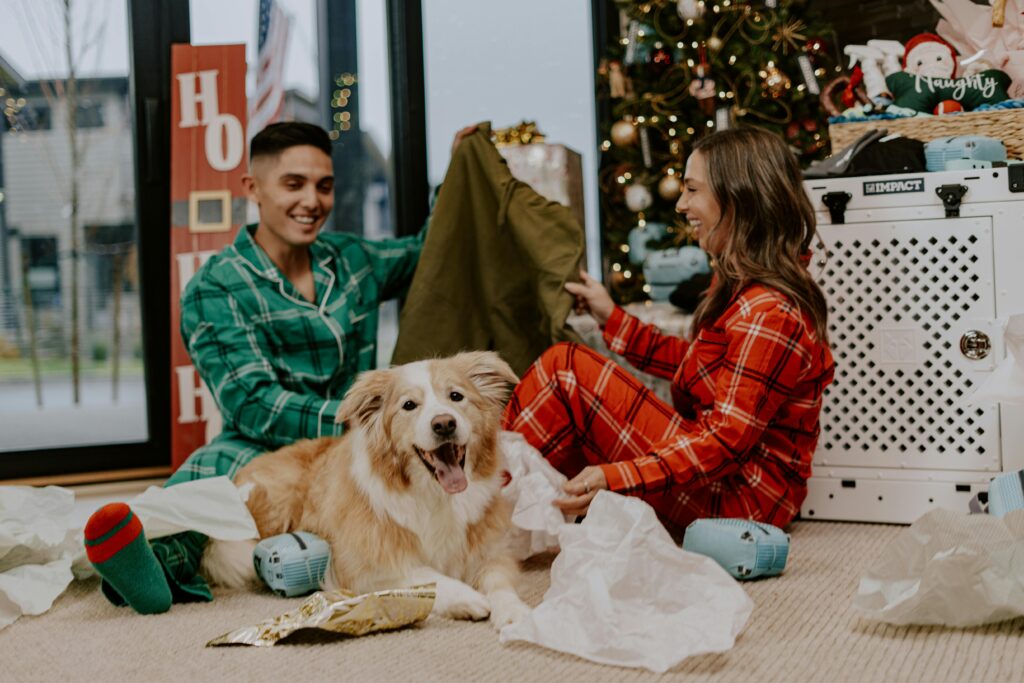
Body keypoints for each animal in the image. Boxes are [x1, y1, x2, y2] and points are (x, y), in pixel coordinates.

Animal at [203, 352, 532, 630]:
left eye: (456, 396)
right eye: (409, 405)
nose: (444, 423)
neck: (436, 496)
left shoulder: (491, 552)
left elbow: (500, 584)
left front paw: (515, 612)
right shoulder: (366, 566)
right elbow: (428, 577)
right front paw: (467, 598)